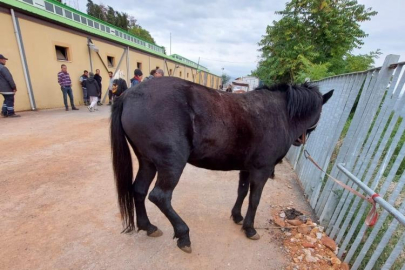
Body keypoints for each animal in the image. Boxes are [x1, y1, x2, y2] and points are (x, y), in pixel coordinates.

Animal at [109, 77, 332, 253]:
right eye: (320, 115)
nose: (300, 140)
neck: (279, 114)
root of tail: (128, 95)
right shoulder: (262, 169)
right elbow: (254, 199)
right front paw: (250, 228)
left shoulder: (246, 168)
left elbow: (242, 192)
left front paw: (237, 216)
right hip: (171, 164)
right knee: (160, 197)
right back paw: (183, 235)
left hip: (148, 162)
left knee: (139, 190)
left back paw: (148, 227)